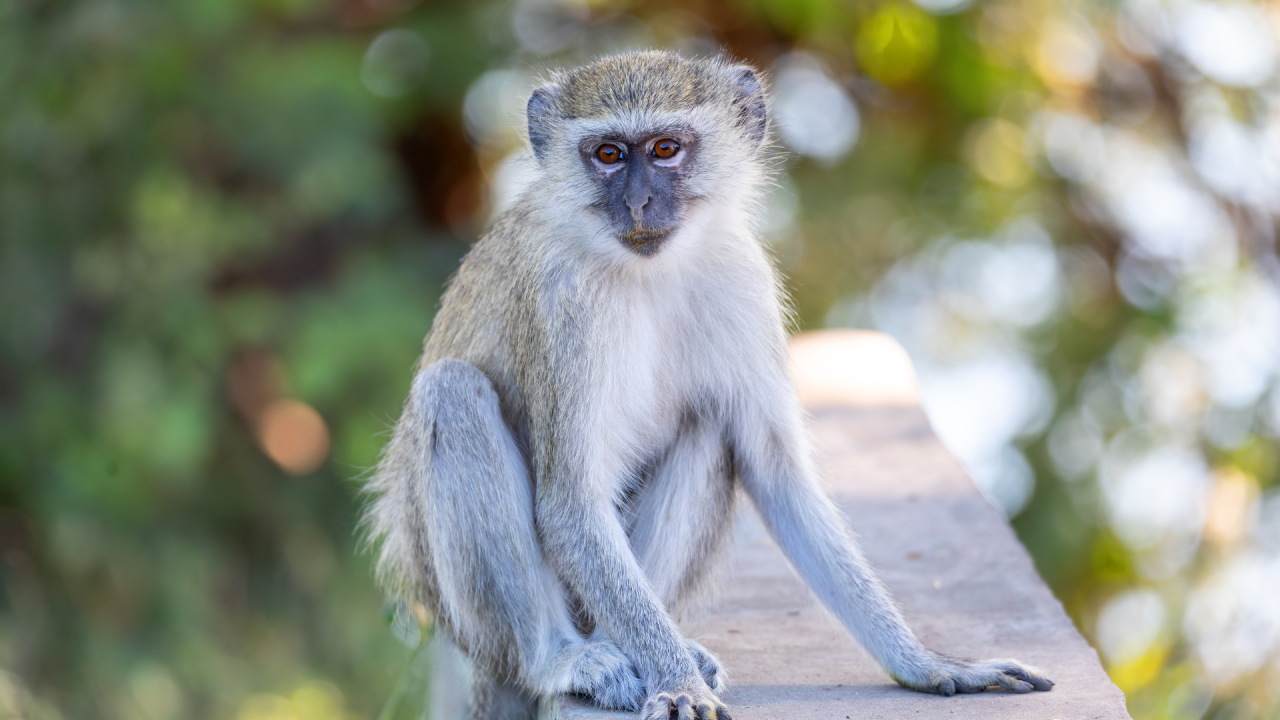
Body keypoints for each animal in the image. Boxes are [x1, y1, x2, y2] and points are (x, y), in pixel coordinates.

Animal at [363, 50, 1054, 720]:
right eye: (608, 154)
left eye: (666, 148)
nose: (639, 204)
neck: (647, 270)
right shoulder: (563, 302)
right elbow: (571, 506)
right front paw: (677, 681)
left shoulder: (741, 275)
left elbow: (777, 474)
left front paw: (927, 664)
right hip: (462, 614)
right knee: (452, 394)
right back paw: (566, 657)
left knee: (707, 424)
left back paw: (633, 645)